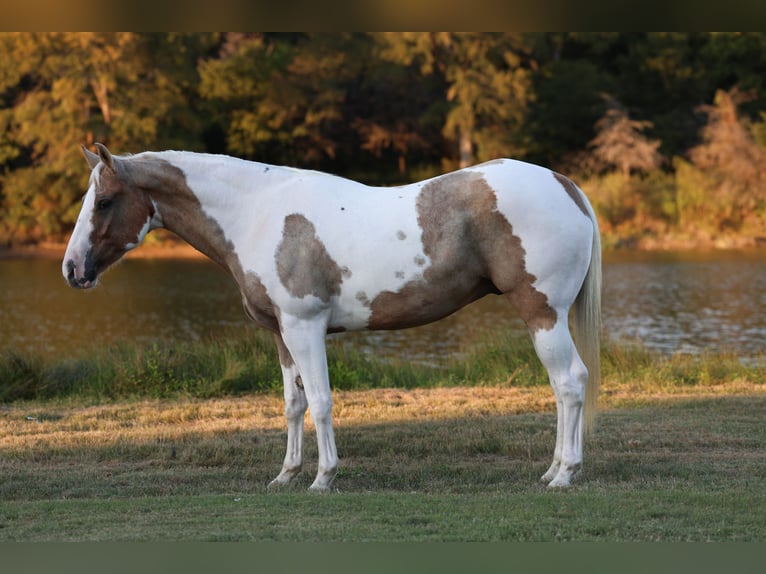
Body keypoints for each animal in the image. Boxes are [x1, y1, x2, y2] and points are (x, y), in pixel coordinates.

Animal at [63, 143, 601, 491]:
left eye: (104, 201)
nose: (72, 269)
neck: (256, 214)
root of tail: (564, 184)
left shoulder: (305, 327)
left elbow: (321, 402)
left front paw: (323, 478)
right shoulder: (281, 335)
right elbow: (293, 404)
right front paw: (286, 475)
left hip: (542, 312)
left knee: (569, 383)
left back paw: (565, 475)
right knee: (564, 388)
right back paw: (554, 470)